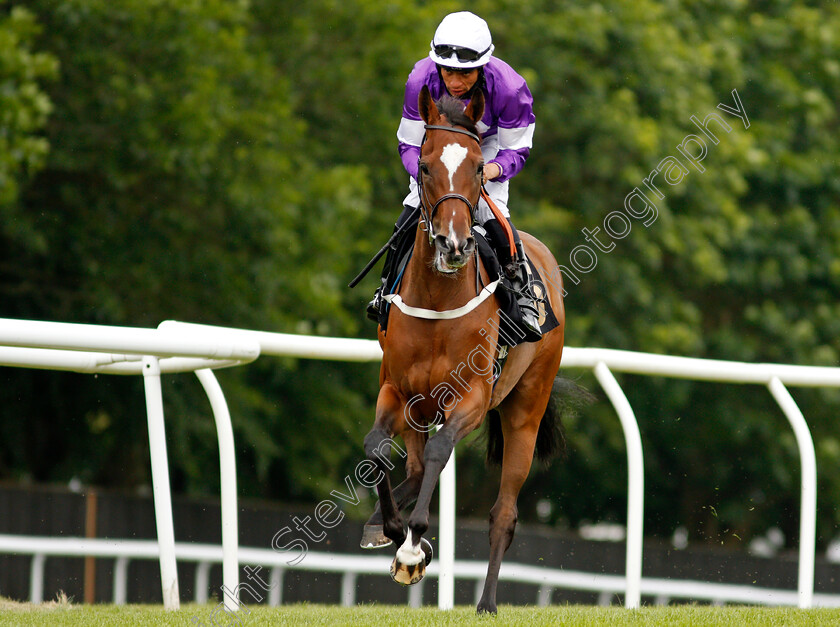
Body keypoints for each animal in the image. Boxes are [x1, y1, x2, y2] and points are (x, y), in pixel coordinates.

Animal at [360, 83, 564, 612]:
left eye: (476, 167)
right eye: (426, 165)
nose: (453, 245)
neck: (438, 297)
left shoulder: (471, 396)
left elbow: (440, 452)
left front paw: (413, 545)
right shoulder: (397, 390)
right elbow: (376, 449)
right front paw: (394, 531)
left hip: (524, 410)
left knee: (503, 513)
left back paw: (487, 601)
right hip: (420, 408)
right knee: (411, 464)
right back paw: (382, 523)